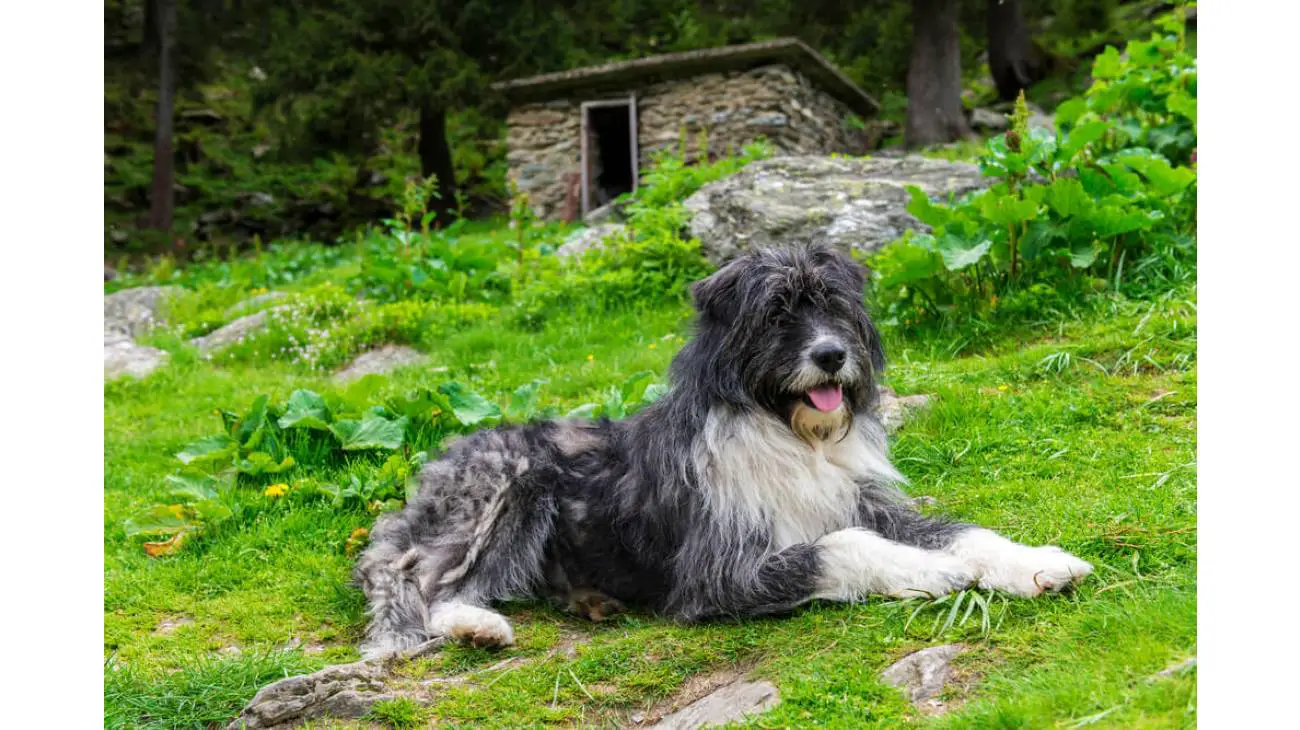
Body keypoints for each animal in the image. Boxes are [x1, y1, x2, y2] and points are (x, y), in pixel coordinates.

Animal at [351, 241, 1092, 657]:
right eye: (776, 312)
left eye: (834, 305)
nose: (832, 356)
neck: (789, 432)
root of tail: (436, 464)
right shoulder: (718, 570)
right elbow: (843, 546)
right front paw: (930, 571)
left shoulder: (867, 502)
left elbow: (962, 531)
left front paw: (1038, 562)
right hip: (509, 487)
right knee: (423, 580)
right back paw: (474, 626)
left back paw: (586, 602)